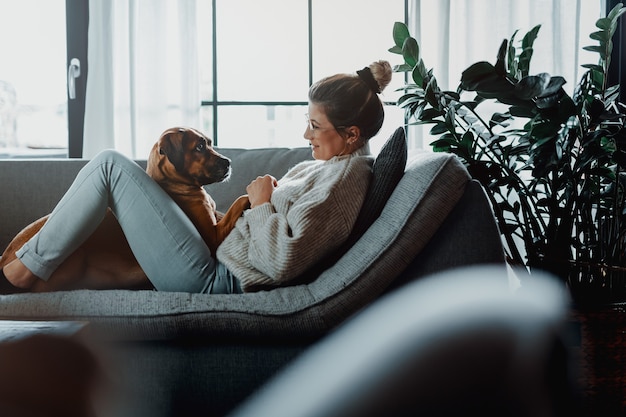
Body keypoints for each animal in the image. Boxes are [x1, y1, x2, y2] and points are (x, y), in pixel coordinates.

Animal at [0, 125, 249, 290]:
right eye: (199, 147)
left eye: (209, 143)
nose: (228, 162)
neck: (171, 184)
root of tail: (4, 260)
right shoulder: (212, 237)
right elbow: (238, 201)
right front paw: (251, 193)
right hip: (75, 256)